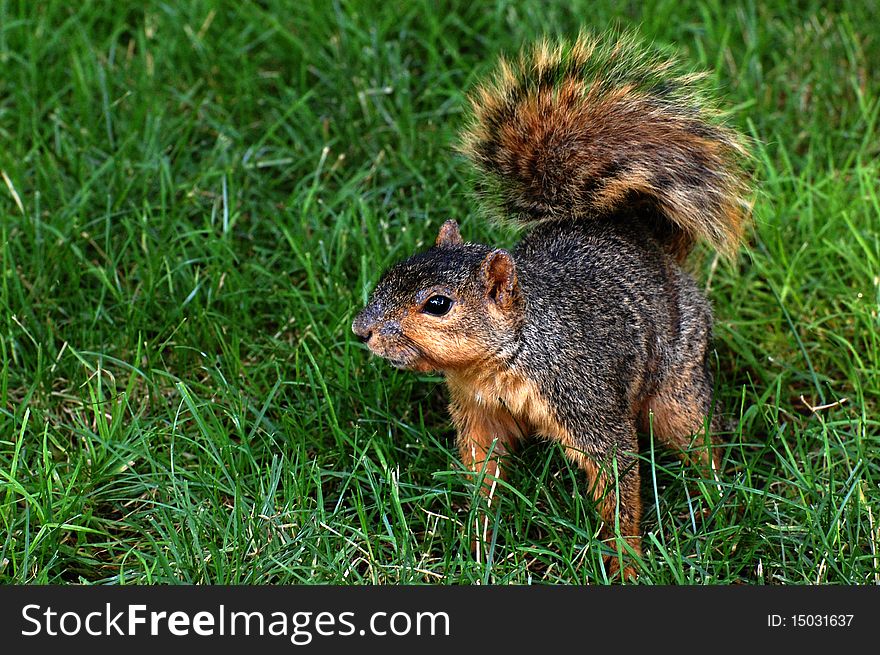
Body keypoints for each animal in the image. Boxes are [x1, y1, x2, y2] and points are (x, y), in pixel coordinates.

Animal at [350, 34, 748, 580]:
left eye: (438, 304)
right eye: (390, 273)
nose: (360, 329)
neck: (504, 361)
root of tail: (651, 244)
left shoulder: (587, 401)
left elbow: (618, 482)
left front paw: (626, 563)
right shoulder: (479, 413)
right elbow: (484, 475)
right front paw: (477, 544)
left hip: (679, 384)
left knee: (699, 437)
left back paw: (716, 503)